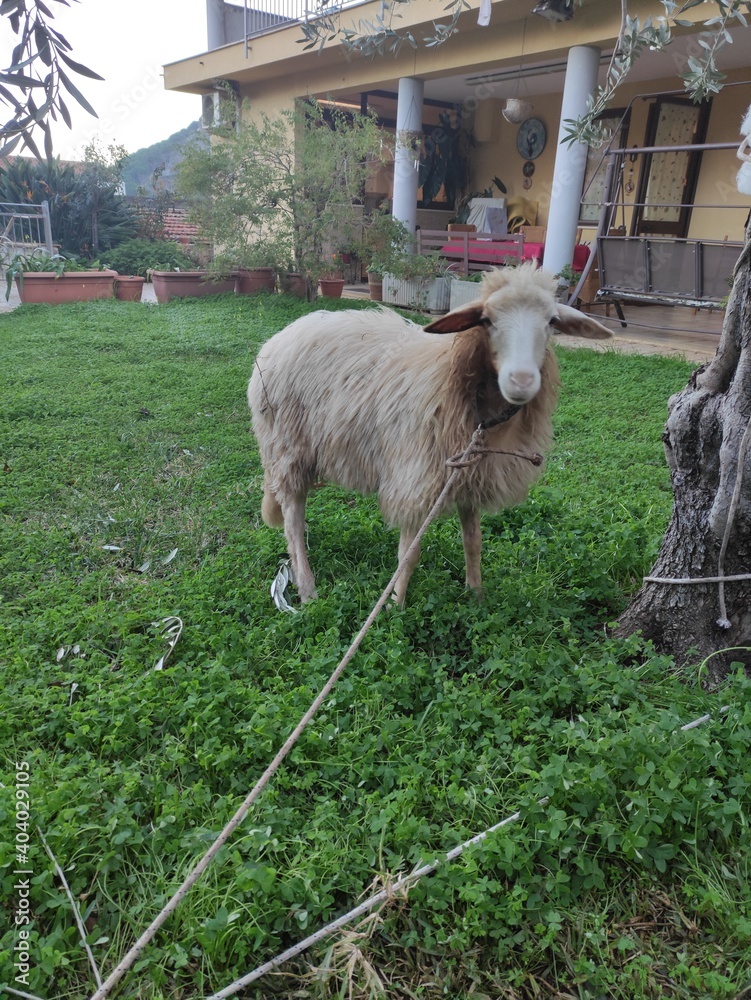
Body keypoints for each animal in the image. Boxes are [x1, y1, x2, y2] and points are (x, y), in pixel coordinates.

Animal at [248, 263, 611, 605]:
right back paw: (307, 586)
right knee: (292, 517)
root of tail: (279, 338)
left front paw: (475, 593)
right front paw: (395, 605)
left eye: (551, 321)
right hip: (287, 448)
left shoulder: (469, 473)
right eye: (486, 320)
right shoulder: (414, 476)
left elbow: (473, 542)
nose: (521, 381)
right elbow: (408, 555)